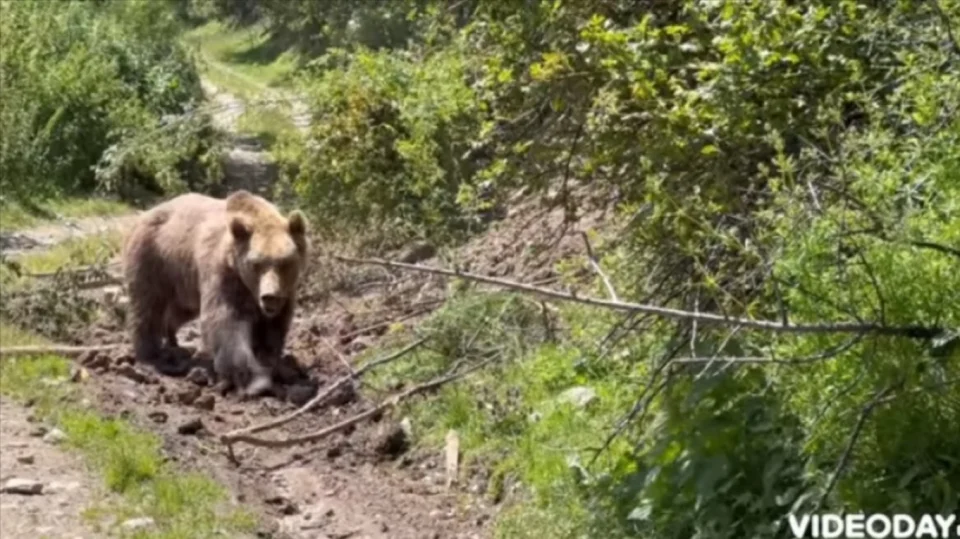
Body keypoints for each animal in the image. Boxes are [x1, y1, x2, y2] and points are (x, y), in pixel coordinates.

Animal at [120, 189, 308, 396]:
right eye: (257, 264)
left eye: (284, 262)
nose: (269, 296)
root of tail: (144, 214)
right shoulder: (223, 274)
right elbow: (225, 320)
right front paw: (252, 380)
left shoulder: (284, 292)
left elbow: (273, 327)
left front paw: (273, 364)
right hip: (153, 258)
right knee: (147, 306)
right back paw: (150, 356)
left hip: (184, 283)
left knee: (178, 311)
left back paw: (173, 340)